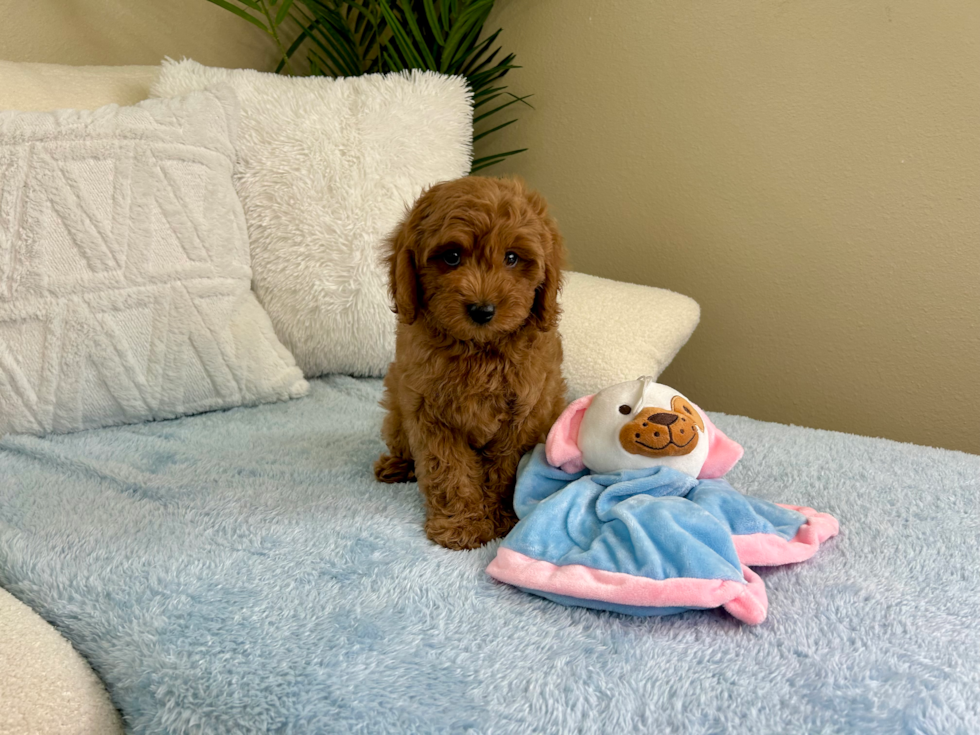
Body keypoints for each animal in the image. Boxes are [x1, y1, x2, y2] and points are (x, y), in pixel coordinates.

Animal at [376, 177, 568, 548]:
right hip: (395, 413)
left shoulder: (523, 414)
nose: (482, 310)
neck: (479, 351)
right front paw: (461, 524)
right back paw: (397, 466)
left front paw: (502, 519)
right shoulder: (428, 411)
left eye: (512, 257)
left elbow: (506, 470)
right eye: (452, 257)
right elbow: (448, 469)